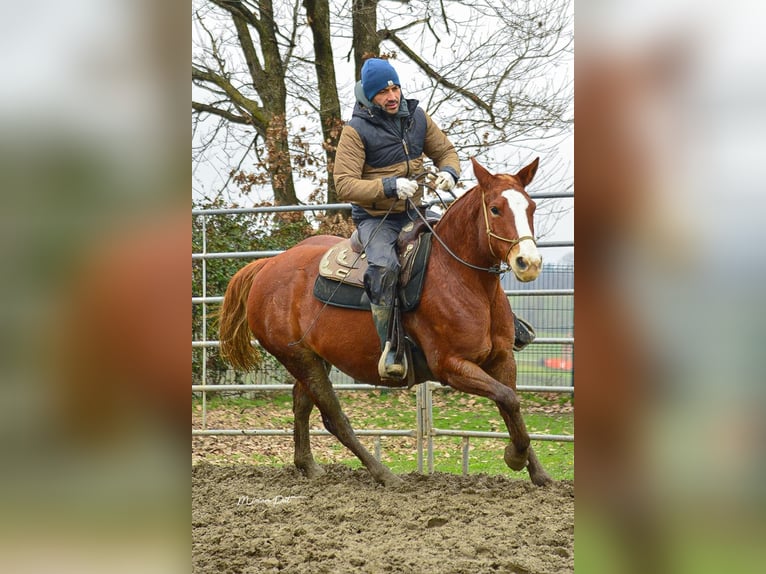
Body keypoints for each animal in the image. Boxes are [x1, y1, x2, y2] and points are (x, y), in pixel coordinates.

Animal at [218, 160, 552, 488]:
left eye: (532, 206)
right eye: (495, 209)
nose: (529, 263)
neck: (459, 277)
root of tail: (268, 264)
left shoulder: (502, 359)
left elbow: (510, 405)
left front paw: (538, 472)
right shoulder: (451, 366)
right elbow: (508, 399)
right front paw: (515, 457)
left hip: (312, 358)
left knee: (302, 405)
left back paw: (308, 466)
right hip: (298, 359)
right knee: (334, 417)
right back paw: (383, 473)